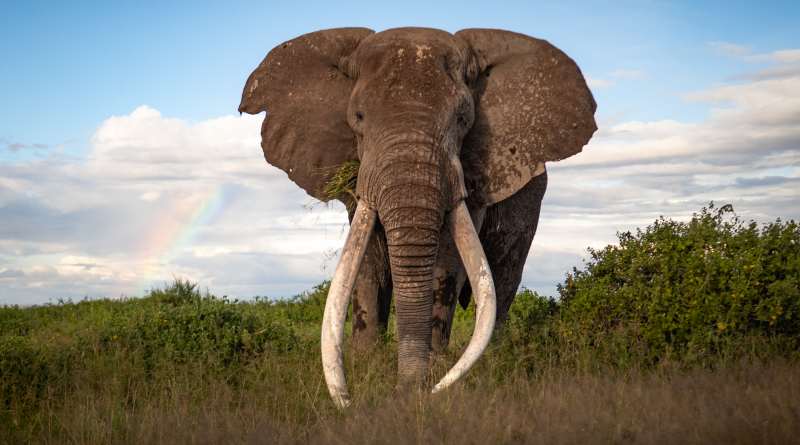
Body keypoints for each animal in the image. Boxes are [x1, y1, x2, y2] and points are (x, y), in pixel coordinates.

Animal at [239, 27, 596, 407]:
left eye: (463, 119)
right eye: (359, 117)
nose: (406, 392)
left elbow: (447, 262)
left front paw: (433, 374)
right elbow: (367, 261)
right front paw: (366, 367)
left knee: (503, 275)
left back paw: (493, 361)